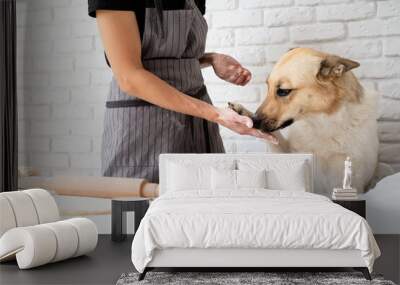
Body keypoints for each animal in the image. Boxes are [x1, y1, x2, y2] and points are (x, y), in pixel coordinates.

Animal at [230, 47, 392, 196]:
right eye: (268, 87)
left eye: (283, 91)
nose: (254, 122)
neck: (321, 124)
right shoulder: (290, 154)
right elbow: (276, 139)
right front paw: (242, 111)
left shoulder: (354, 179)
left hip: (384, 168)